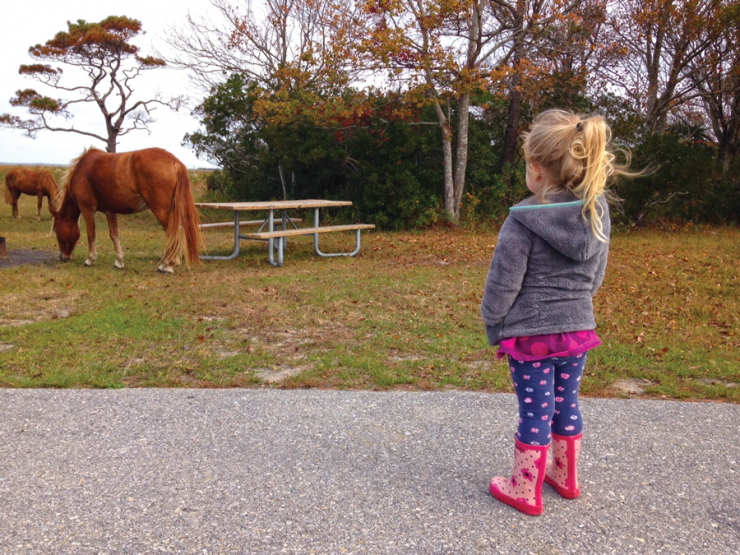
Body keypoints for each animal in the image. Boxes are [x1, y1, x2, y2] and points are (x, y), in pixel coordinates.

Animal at [51, 146, 205, 272]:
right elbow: (114, 235)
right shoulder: (110, 211)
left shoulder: (87, 208)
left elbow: (91, 234)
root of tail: (175, 161)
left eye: (57, 230)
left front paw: (90, 259)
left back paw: (167, 265)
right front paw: (119, 262)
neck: (83, 169)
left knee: (172, 233)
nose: (63, 257)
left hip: (160, 210)